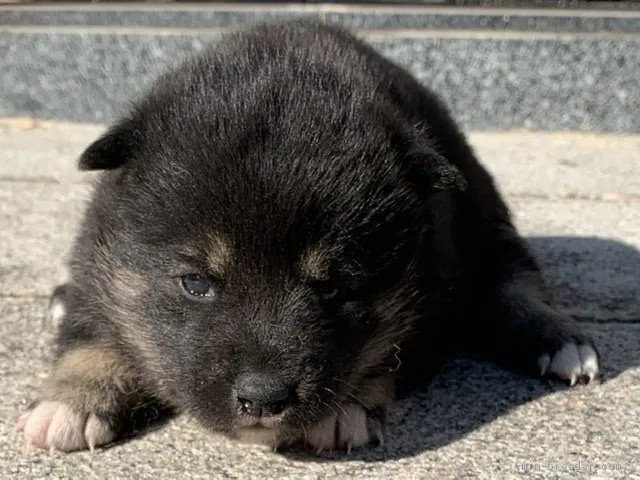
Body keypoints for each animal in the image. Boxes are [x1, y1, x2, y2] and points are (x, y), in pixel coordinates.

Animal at [18, 19, 600, 454]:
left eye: (334, 288)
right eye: (195, 283)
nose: (262, 399)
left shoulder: (438, 278)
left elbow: (388, 351)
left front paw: (346, 408)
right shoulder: (100, 251)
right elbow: (93, 332)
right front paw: (71, 401)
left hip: (486, 215)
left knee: (514, 282)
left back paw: (559, 341)